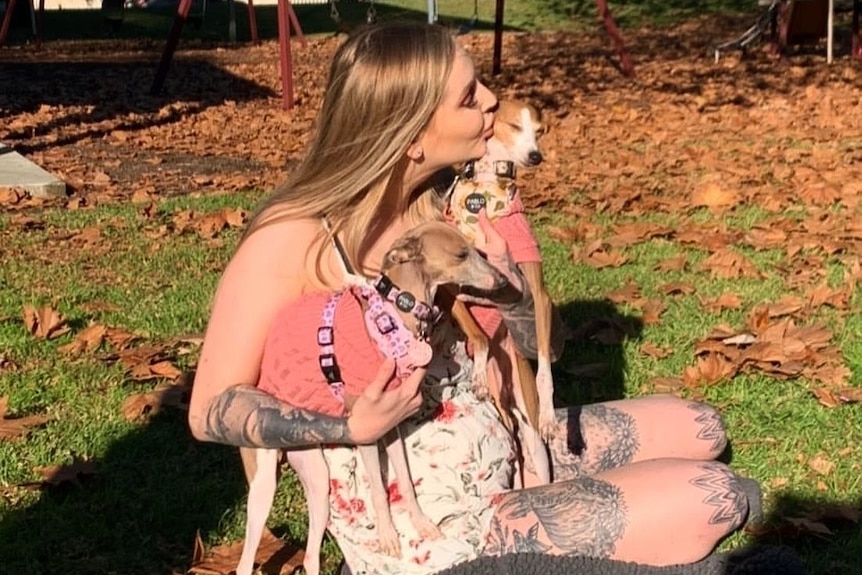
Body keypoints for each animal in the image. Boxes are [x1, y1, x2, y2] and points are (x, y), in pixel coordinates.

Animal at [236, 223, 510, 575]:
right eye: (461, 254)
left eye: (477, 250)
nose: (502, 281)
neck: (394, 317)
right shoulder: (367, 430)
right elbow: (380, 490)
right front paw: (388, 536)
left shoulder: (392, 427)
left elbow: (404, 480)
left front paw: (422, 524)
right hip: (263, 485)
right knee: (246, 559)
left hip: (317, 479)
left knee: (310, 554)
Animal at [446, 99, 560, 486]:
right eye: (513, 126)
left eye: (540, 131)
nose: (536, 156)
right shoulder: (453, 293)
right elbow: (479, 337)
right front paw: (479, 375)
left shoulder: (538, 295)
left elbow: (545, 366)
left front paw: (552, 414)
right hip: (506, 412)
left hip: (530, 436)